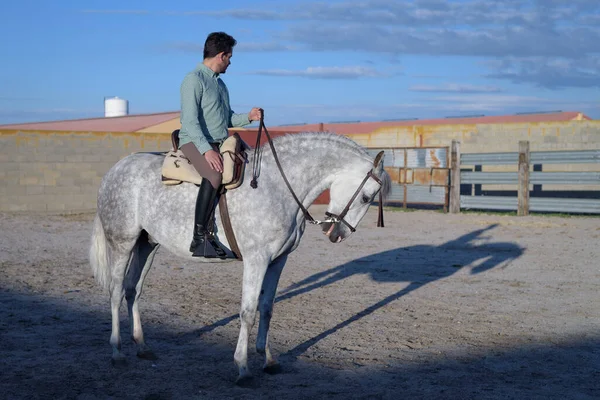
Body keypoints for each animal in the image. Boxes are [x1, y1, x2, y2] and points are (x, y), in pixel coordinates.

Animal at [88, 132, 390, 384]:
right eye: (366, 197)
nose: (337, 233)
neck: (277, 186)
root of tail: (117, 169)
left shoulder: (277, 261)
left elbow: (266, 308)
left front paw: (268, 360)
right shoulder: (257, 259)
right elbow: (247, 312)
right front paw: (243, 367)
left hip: (147, 245)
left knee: (133, 290)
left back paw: (142, 346)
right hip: (122, 243)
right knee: (116, 291)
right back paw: (117, 352)